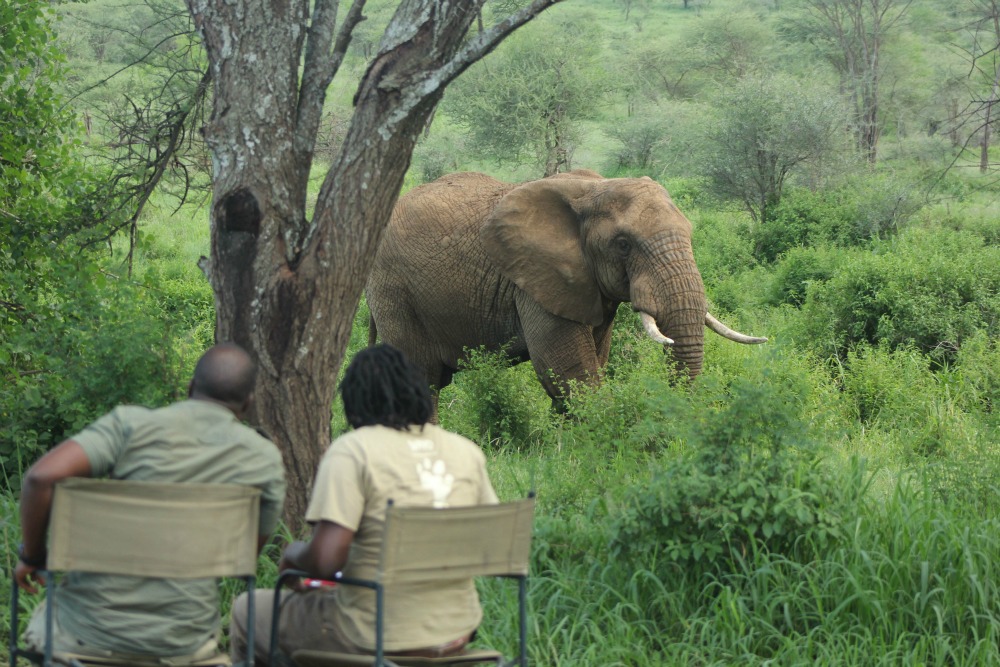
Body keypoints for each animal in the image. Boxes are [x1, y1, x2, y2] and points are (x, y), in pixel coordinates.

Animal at [366, 170, 766, 418]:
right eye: (623, 244)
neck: (594, 188)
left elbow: (593, 359)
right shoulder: (534, 281)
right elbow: (566, 365)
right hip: (394, 290)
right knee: (422, 380)